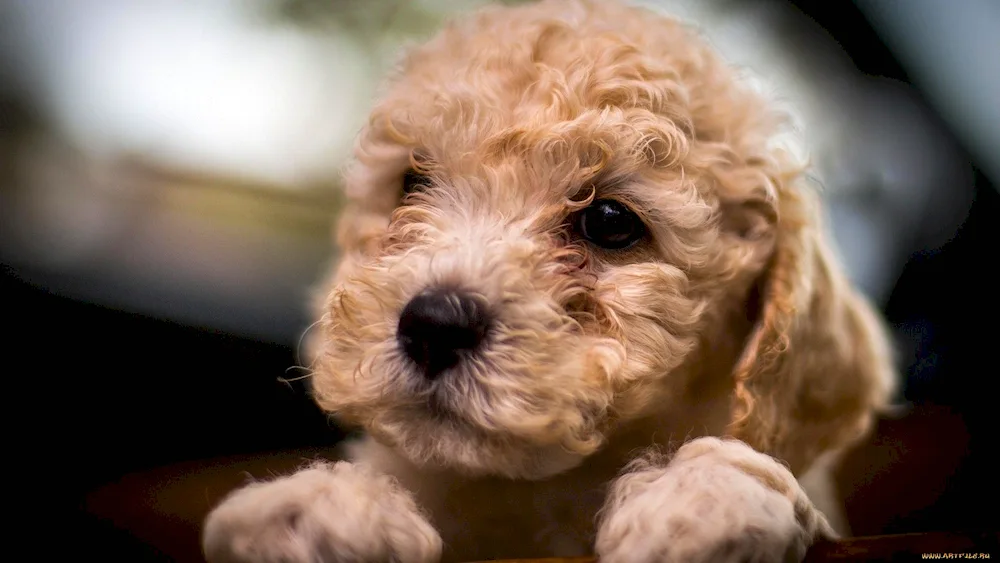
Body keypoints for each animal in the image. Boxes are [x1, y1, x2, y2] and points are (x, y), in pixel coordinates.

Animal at [203, 2, 900, 560]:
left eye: (610, 222)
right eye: (412, 181)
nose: (433, 325)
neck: (540, 496)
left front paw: (702, 498)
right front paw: (310, 511)